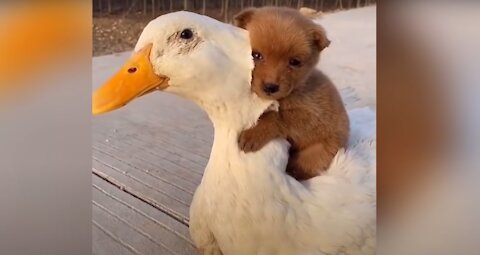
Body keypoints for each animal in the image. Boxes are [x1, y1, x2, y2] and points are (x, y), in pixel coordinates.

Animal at [233, 6, 348, 181]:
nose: (271, 87)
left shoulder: (311, 115)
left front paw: (254, 134)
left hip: (319, 151)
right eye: (255, 55)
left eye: (294, 62)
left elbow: (276, 116)